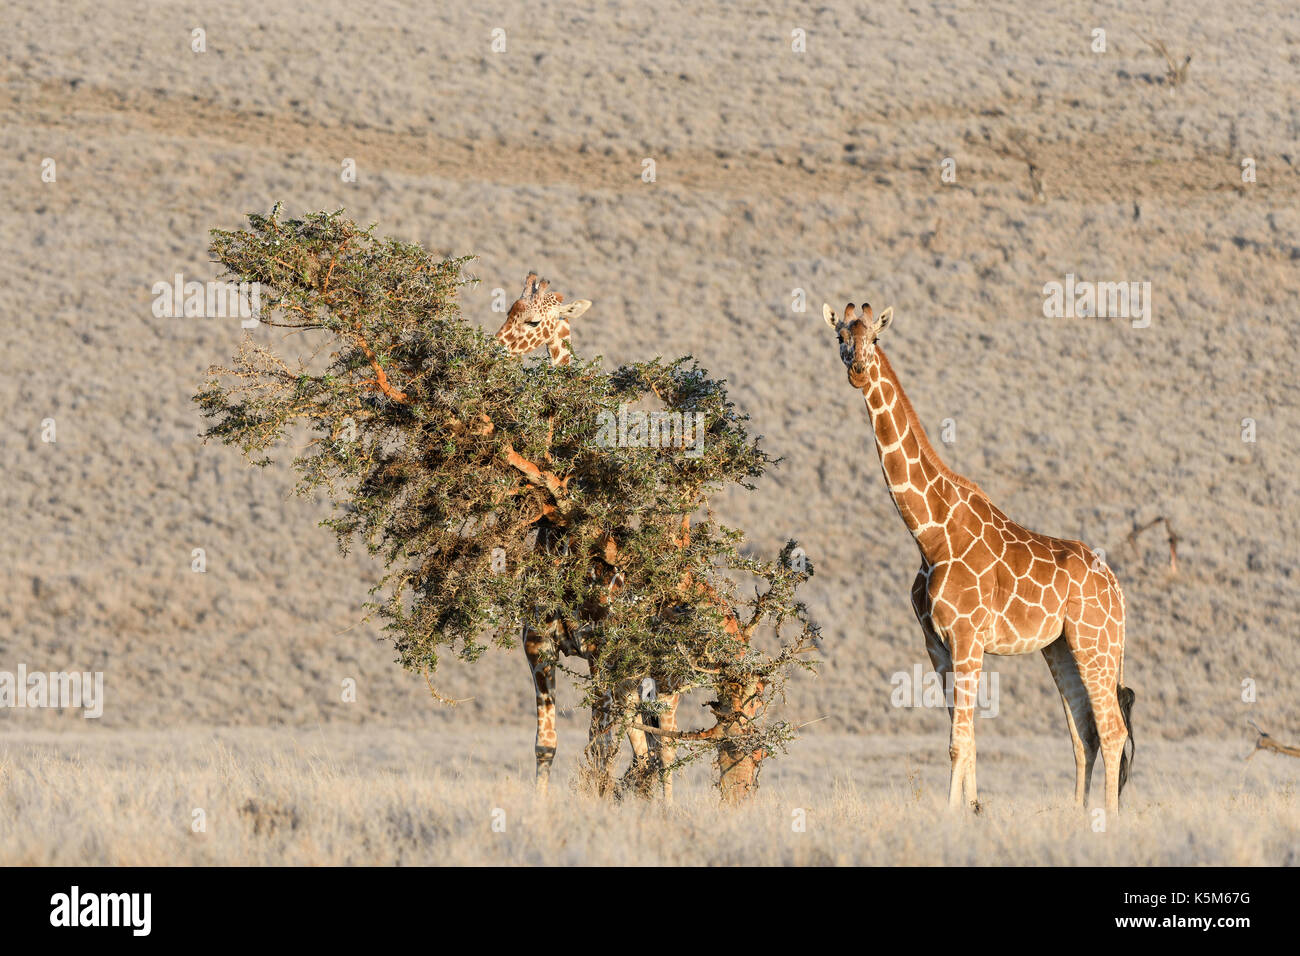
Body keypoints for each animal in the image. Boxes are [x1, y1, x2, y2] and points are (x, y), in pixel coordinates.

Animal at [491, 274, 686, 801]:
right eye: (509, 309)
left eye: (533, 322)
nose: (495, 349)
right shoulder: (539, 648)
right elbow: (547, 745)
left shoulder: (602, 655)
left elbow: (599, 751)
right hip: (633, 677)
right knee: (644, 745)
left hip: (660, 668)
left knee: (666, 745)